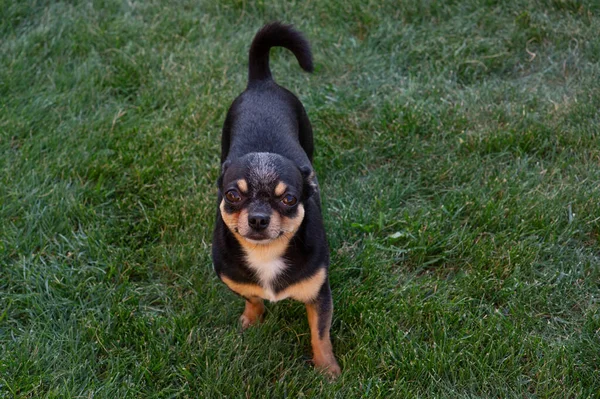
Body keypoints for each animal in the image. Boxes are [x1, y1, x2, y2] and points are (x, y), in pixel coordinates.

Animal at [213, 22, 340, 378]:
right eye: (233, 195)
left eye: (289, 200)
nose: (258, 218)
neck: (266, 253)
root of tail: (262, 82)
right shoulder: (233, 278)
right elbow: (252, 297)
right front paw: (251, 320)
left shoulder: (319, 294)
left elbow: (320, 333)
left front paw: (328, 371)